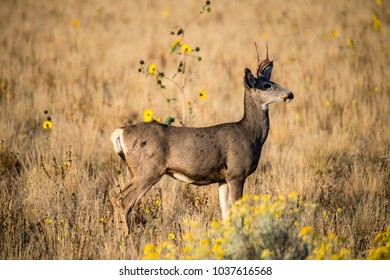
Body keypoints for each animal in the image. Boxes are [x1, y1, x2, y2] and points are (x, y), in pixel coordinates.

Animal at [109, 47, 292, 232]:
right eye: (267, 85)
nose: (290, 94)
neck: (250, 135)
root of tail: (120, 132)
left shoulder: (222, 179)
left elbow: (226, 214)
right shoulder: (236, 173)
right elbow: (237, 214)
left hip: (135, 171)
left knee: (116, 197)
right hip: (148, 169)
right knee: (124, 202)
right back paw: (126, 236)